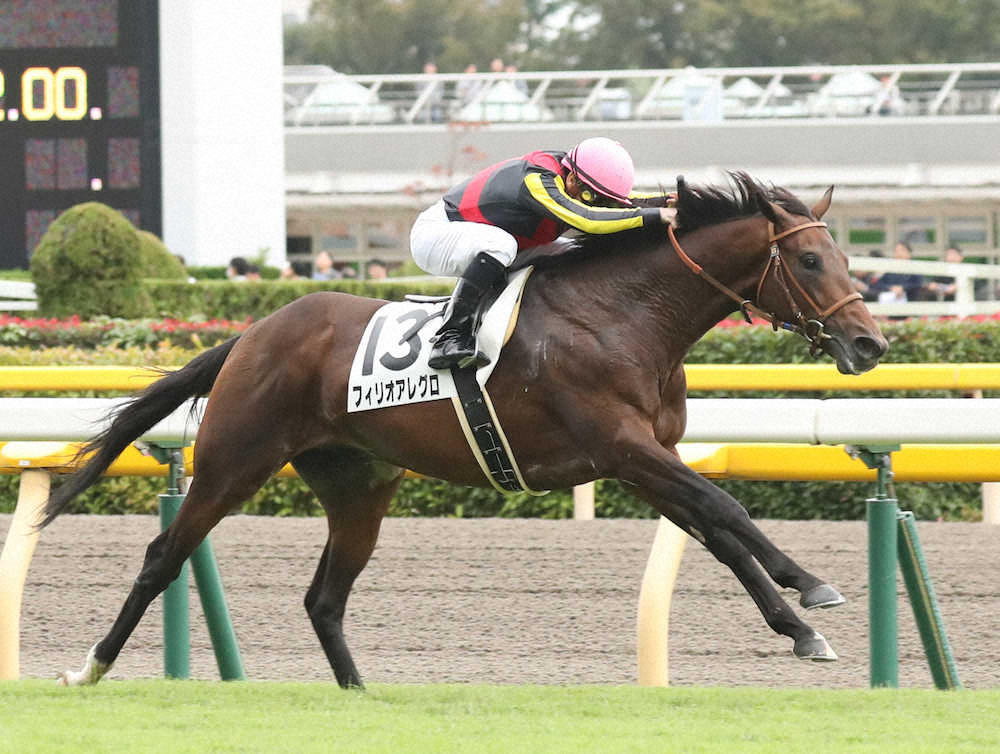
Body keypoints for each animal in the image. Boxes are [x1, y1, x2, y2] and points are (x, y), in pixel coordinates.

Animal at [46, 172, 887, 687]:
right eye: (810, 261)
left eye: (844, 256)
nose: (871, 343)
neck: (626, 315)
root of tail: (251, 335)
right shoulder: (624, 448)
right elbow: (727, 509)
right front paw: (812, 587)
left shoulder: (643, 459)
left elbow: (718, 533)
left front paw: (797, 626)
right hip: (233, 462)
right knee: (162, 558)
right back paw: (89, 667)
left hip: (359, 488)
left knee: (324, 598)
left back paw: (359, 694)